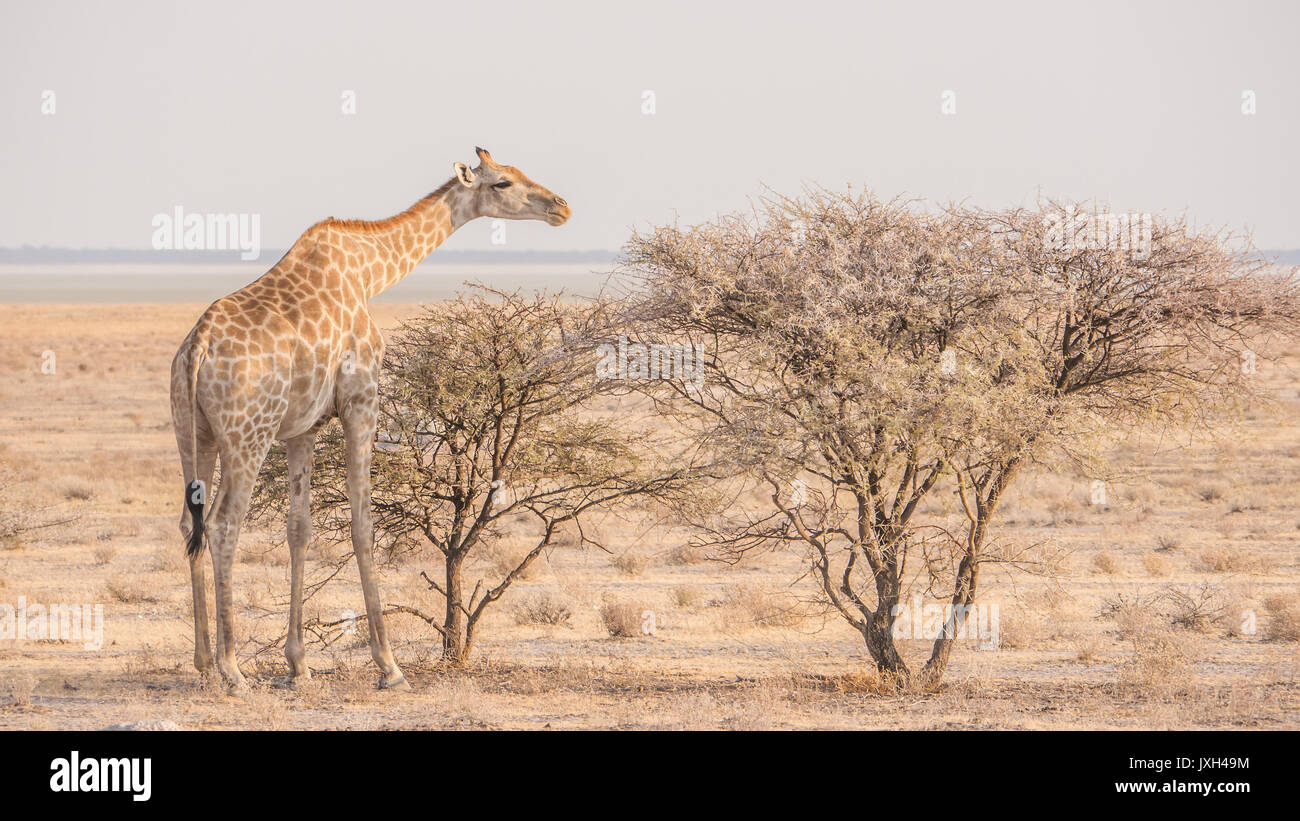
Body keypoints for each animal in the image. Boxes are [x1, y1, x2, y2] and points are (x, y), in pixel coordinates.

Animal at [167, 149, 569, 691]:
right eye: (502, 182)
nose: (561, 207)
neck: (369, 274)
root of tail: (198, 347)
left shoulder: (302, 428)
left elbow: (299, 528)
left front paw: (299, 665)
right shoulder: (362, 400)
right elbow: (362, 523)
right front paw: (389, 665)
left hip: (194, 434)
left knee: (188, 523)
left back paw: (205, 664)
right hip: (247, 435)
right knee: (224, 524)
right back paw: (233, 670)